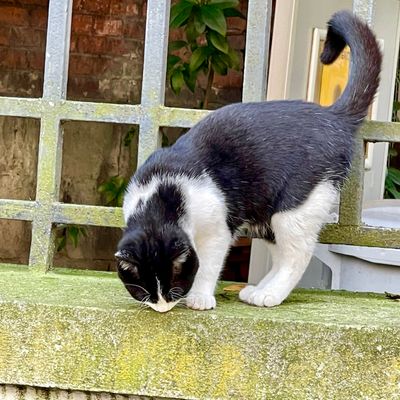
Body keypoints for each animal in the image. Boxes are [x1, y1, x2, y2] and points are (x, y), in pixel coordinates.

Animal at [115, 10, 382, 312]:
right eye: (144, 291)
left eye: (174, 285)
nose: (163, 307)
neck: (163, 194)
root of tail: (333, 116)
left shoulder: (217, 227)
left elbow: (209, 263)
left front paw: (200, 296)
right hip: (268, 217)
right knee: (281, 254)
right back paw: (258, 290)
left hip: (295, 207)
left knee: (296, 255)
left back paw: (271, 294)